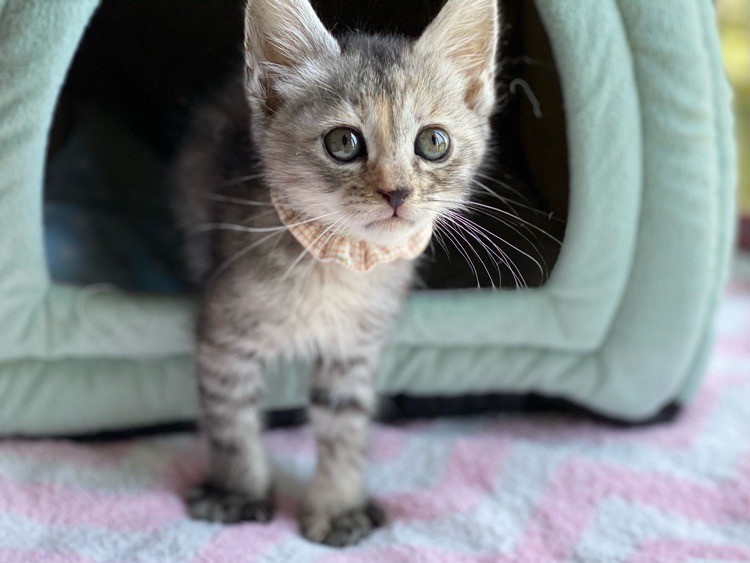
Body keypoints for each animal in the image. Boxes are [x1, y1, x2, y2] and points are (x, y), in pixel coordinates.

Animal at [172, 0, 499, 546]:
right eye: (343, 142)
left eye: (433, 142)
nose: (396, 192)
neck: (338, 267)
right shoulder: (222, 334)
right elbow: (230, 422)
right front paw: (237, 493)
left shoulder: (354, 351)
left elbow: (343, 430)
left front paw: (339, 505)